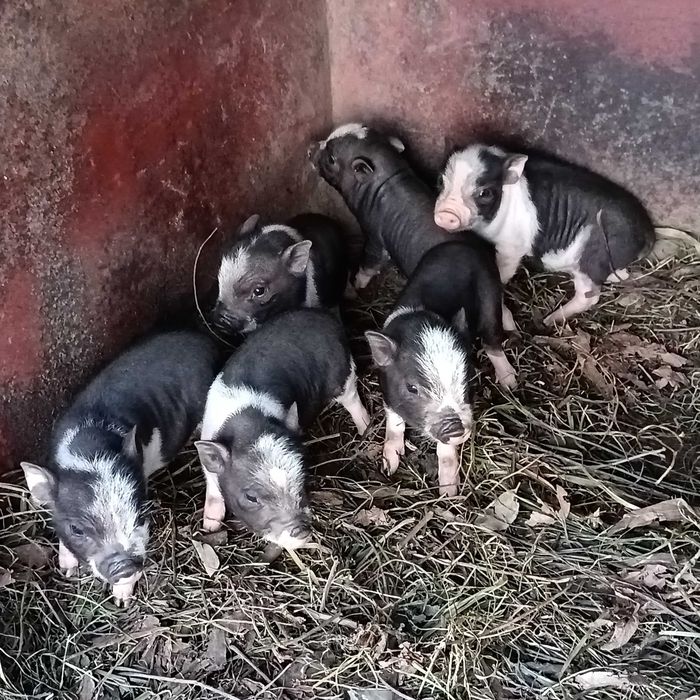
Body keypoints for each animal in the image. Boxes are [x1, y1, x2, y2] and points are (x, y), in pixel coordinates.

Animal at [21, 331, 220, 606]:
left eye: (138, 516)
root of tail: (203, 338)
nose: (124, 566)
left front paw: (121, 601)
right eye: (77, 529)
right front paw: (68, 571)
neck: (91, 453)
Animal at [195, 308, 370, 548]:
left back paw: (365, 428)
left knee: (353, 400)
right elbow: (213, 487)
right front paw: (210, 526)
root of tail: (324, 316)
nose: (302, 532)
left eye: (302, 480)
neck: (248, 421)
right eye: (251, 497)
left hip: (343, 374)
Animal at [434, 144, 656, 326]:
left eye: (485, 193)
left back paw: (549, 320)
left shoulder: (512, 245)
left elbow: (504, 270)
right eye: (441, 181)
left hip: (592, 258)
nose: (446, 214)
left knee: (589, 296)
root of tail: (648, 233)